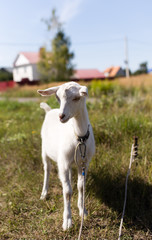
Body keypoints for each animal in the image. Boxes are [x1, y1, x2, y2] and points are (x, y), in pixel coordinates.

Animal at [37, 82, 95, 231]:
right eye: (57, 97)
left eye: (76, 98)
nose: (61, 116)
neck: (79, 137)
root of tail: (49, 111)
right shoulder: (62, 162)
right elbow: (67, 192)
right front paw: (67, 221)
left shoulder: (84, 163)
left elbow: (81, 186)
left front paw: (83, 211)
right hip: (44, 150)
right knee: (47, 169)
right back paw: (44, 193)